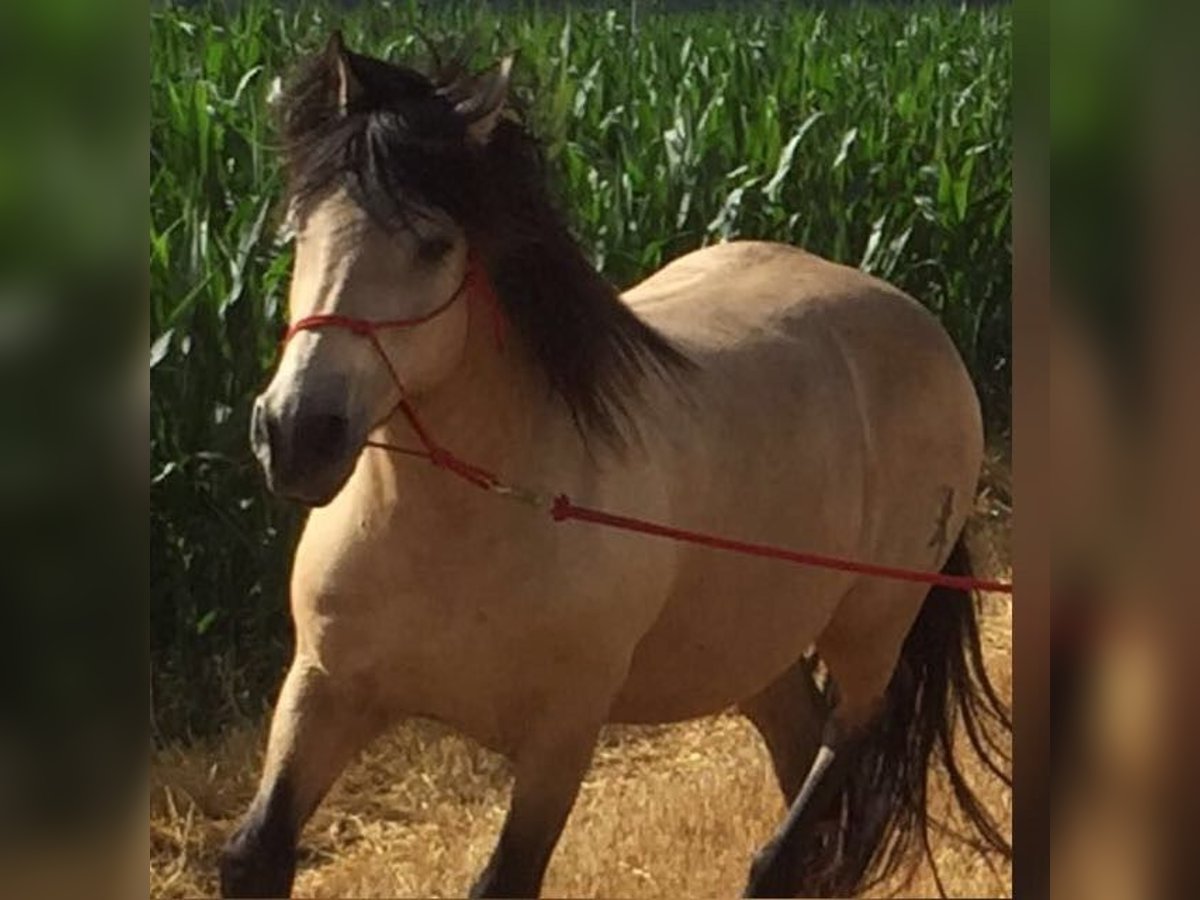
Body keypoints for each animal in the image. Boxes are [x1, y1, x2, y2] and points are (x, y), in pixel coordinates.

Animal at [220, 33, 1008, 900]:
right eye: (299, 230)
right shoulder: (324, 691)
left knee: (827, 777)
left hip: (872, 629)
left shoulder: (562, 736)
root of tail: (914, 319)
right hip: (754, 647)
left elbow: (505, 880)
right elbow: (253, 856)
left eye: (435, 245)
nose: (297, 433)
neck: (465, 523)